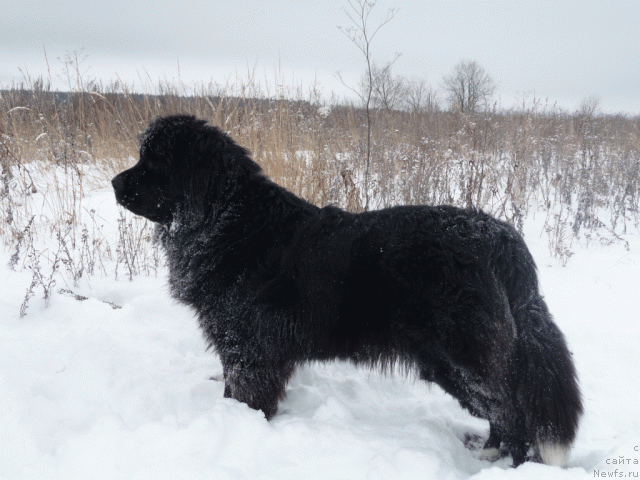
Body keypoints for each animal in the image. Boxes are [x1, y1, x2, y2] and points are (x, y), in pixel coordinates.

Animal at [112, 114, 584, 466]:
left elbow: (244, 395)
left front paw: (238, 425)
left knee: (510, 411)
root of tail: (499, 238)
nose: (115, 183)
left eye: (154, 163)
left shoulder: (249, 350)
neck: (225, 221)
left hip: (460, 358)